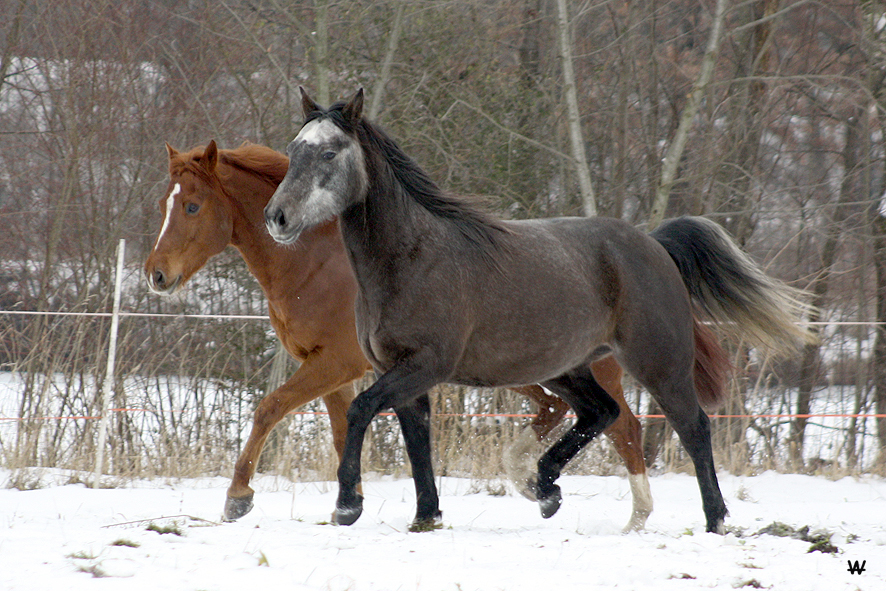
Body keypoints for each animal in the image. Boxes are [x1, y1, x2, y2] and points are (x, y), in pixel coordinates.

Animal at [146, 141, 656, 528]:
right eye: (164, 204)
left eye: (192, 205)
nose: (155, 274)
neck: (313, 265)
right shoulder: (335, 369)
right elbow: (340, 431)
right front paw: (351, 502)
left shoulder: (334, 363)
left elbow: (270, 408)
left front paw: (238, 497)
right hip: (521, 370)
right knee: (559, 411)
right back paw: (535, 486)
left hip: (581, 372)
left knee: (624, 428)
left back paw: (634, 517)